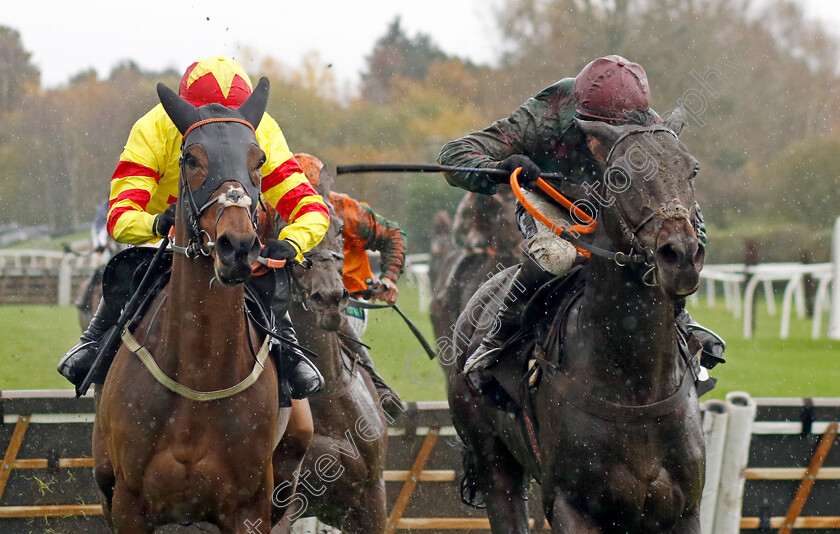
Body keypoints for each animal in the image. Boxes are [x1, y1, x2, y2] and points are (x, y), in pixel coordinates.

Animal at [92, 79, 300, 534]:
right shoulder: (129, 505)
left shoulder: (248, 508)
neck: (199, 377)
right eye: (191, 159)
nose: (237, 246)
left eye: (259, 159)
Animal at [446, 112, 708, 532]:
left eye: (691, 168)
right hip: (492, 459)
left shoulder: (683, 509)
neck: (634, 387)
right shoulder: (572, 505)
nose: (681, 254)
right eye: (619, 175)